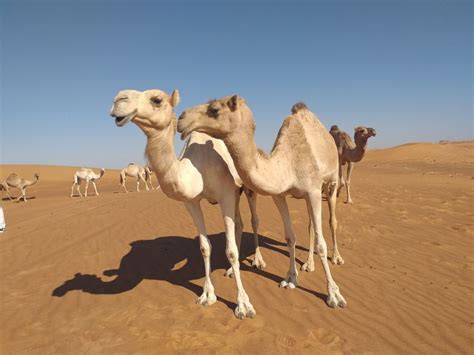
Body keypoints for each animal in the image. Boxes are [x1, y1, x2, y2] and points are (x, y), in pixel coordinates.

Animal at [111, 89, 266, 320]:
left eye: (157, 100)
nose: (118, 100)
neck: (197, 166)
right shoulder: (192, 202)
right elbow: (204, 247)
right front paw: (207, 295)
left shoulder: (226, 195)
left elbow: (230, 251)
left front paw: (243, 305)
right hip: (236, 194)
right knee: (239, 223)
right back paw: (230, 271)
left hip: (247, 187)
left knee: (254, 219)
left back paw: (258, 260)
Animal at [177, 96, 344, 308]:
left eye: (214, 109)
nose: (181, 118)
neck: (288, 163)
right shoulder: (279, 195)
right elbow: (290, 237)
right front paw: (290, 278)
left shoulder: (313, 190)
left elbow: (322, 244)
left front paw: (334, 294)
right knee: (311, 226)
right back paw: (308, 264)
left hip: (331, 183)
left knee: (332, 220)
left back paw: (336, 257)